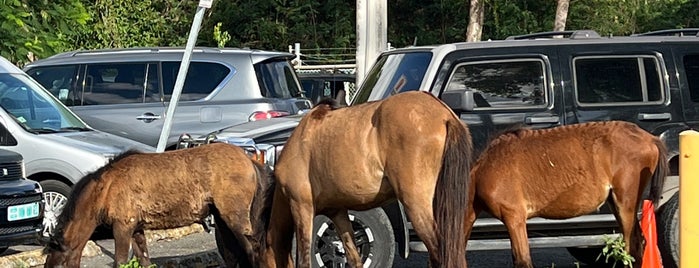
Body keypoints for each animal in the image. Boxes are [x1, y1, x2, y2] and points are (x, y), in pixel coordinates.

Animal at [42, 143, 274, 266]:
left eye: (57, 265)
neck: (106, 187)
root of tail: (250, 161)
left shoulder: (122, 227)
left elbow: (121, 261)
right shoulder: (136, 229)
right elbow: (144, 260)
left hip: (235, 218)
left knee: (252, 249)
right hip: (223, 220)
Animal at [264, 90, 476, 268]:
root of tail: (444, 114)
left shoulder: (301, 207)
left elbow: (304, 260)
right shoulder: (338, 212)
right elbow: (353, 257)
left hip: (417, 206)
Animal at [468, 120, 668, 266]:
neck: (485, 170)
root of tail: (650, 138)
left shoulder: (514, 218)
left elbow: (522, 260)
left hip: (625, 203)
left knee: (631, 246)